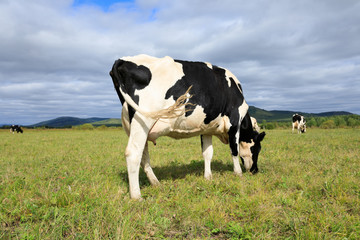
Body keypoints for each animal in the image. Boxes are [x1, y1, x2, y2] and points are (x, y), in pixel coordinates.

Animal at [111, 54, 266, 199]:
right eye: (257, 148)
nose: (255, 170)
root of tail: (122, 60)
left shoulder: (207, 128)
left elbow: (207, 153)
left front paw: (208, 177)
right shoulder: (234, 121)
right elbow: (234, 149)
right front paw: (238, 173)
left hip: (134, 125)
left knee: (143, 156)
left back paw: (156, 183)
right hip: (142, 118)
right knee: (133, 153)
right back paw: (137, 196)